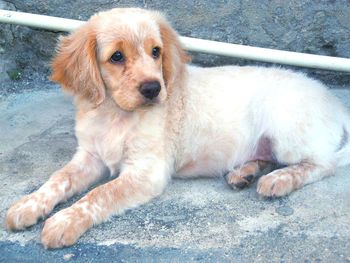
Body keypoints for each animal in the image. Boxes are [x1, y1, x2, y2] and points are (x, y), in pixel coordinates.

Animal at [5, 7, 350, 250]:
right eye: (116, 56)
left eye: (156, 51)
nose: (153, 88)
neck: (116, 114)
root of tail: (334, 103)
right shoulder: (89, 156)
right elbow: (58, 178)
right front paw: (28, 204)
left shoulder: (146, 171)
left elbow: (100, 194)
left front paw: (63, 221)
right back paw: (245, 172)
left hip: (286, 131)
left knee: (323, 163)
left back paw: (279, 179)